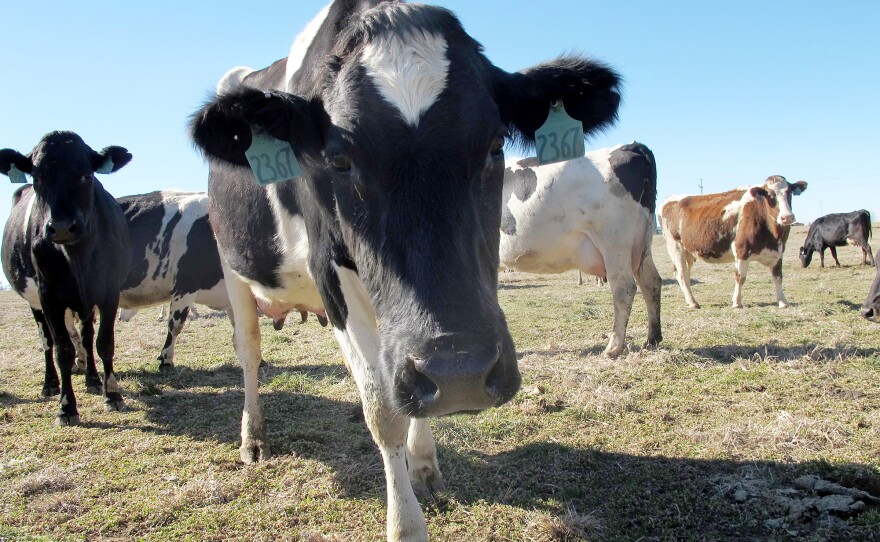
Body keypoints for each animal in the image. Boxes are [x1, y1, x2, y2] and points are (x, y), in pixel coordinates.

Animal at [0, 131, 131, 424]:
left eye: (87, 174)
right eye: (37, 177)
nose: (61, 227)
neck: (77, 256)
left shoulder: (109, 292)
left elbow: (103, 343)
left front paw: (112, 394)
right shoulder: (49, 297)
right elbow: (62, 349)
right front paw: (67, 407)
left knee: (86, 336)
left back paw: (93, 379)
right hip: (36, 303)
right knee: (47, 341)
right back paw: (50, 384)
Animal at [190, 2, 624, 540]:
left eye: (495, 144)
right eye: (338, 160)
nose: (460, 372)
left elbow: (409, 393)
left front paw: (423, 463)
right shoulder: (330, 275)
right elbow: (384, 411)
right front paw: (405, 523)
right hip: (232, 267)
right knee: (249, 350)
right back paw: (253, 437)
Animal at [502, 142, 660, 360]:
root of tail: (628, 147)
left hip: (614, 242)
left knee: (625, 289)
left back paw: (613, 347)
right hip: (641, 244)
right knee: (651, 283)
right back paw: (652, 340)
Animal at [660, 175, 812, 308]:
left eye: (789, 192)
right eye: (769, 194)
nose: (787, 217)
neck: (773, 236)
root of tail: (670, 198)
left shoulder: (778, 253)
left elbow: (778, 277)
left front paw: (783, 302)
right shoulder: (741, 249)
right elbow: (740, 277)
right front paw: (737, 303)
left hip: (689, 252)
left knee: (685, 274)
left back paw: (691, 300)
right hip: (675, 246)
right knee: (680, 274)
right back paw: (692, 303)